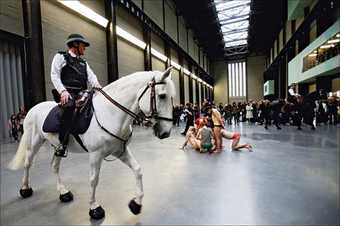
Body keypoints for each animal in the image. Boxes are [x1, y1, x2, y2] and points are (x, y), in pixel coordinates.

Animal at [7, 67, 175, 219]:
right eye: (162, 96)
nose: (166, 132)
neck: (110, 113)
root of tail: (32, 109)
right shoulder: (95, 155)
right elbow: (94, 180)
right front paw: (94, 208)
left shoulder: (119, 151)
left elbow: (138, 170)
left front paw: (136, 204)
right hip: (34, 142)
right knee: (28, 163)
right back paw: (25, 189)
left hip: (58, 146)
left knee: (54, 166)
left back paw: (63, 192)